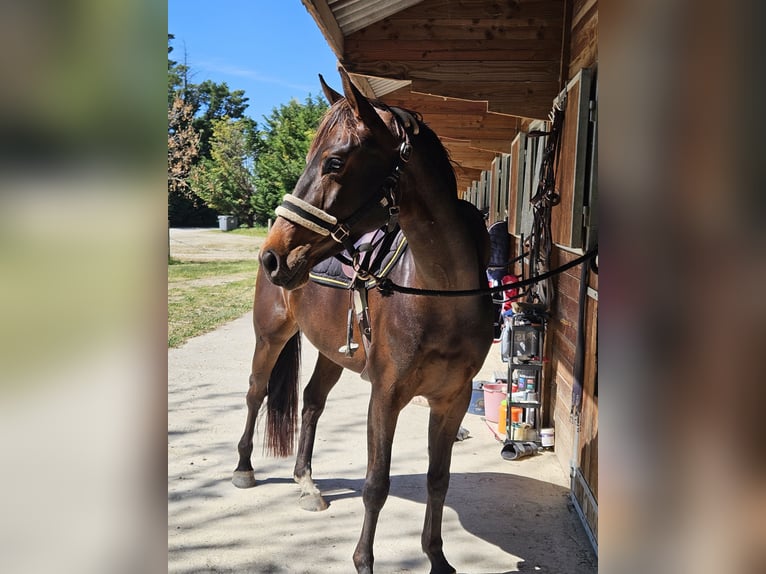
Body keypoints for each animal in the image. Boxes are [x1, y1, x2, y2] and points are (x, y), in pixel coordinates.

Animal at [233, 68, 495, 574]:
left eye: (334, 162)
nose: (273, 257)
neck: (441, 295)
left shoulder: (452, 399)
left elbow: (438, 479)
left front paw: (437, 558)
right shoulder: (386, 395)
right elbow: (376, 484)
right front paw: (364, 561)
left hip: (332, 352)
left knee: (311, 403)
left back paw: (306, 483)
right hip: (269, 336)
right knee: (256, 392)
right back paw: (243, 468)